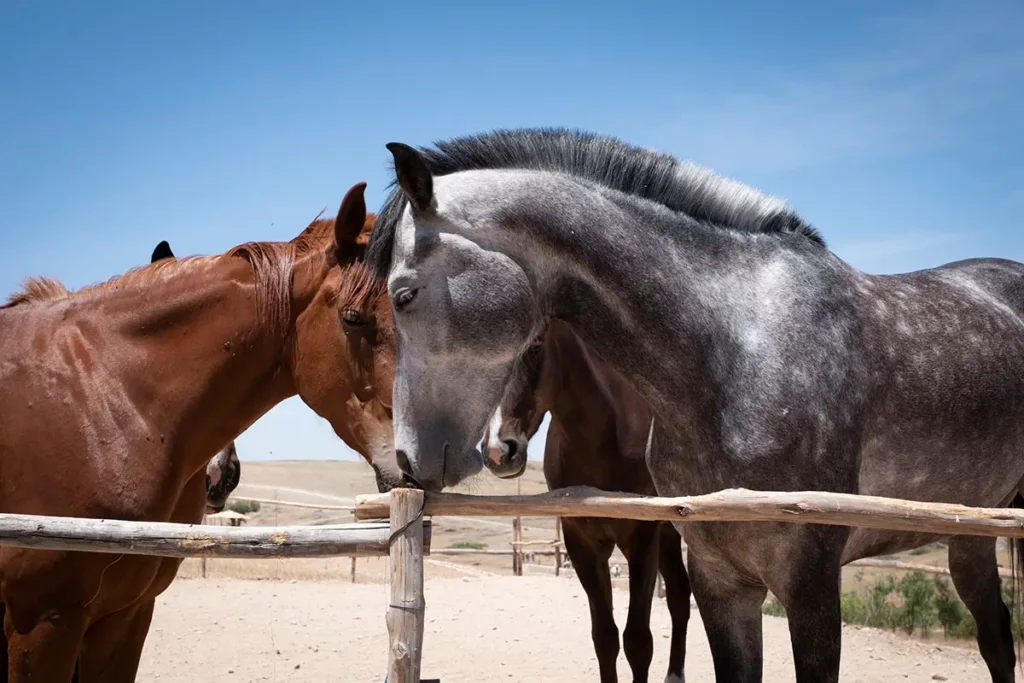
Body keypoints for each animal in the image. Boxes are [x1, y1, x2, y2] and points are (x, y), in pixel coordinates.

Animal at [483, 318, 689, 683]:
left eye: (537, 342)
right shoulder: (582, 543)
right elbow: (605, 638)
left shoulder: (642, 537)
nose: (497, 451)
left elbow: (638, 641)